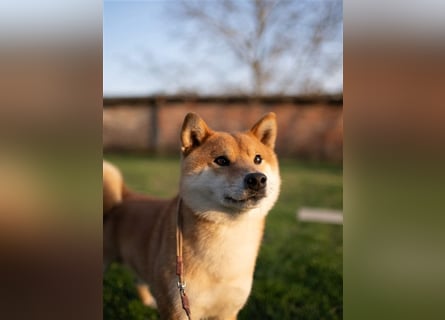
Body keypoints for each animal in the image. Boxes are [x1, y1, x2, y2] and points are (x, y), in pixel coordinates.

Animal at [102, 112, 280, 320]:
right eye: (222, 160)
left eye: (258, 159)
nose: (257, 179)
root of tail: (125, 196)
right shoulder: (178, 307)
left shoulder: (228, 310)